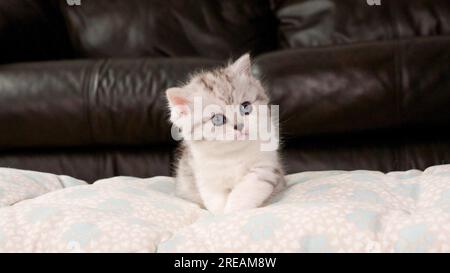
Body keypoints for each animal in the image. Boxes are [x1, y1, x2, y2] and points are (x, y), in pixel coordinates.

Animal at [165, 53, 284, 212]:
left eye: (245, 107)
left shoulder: (265, 167)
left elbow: (247, 190)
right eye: (217, 119)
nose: (239, 126)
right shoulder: (206, 177)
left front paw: (233, 211)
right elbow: (216, 201)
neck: (233, 154)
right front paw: (221, 213)